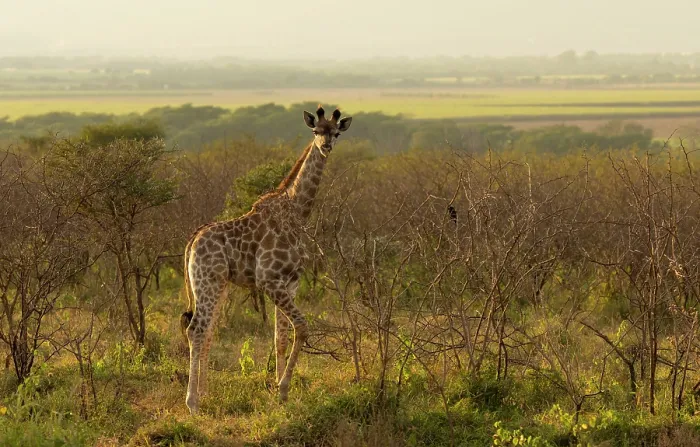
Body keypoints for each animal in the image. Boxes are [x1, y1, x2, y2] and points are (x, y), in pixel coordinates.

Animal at [180, 105, 352, 414]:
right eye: (315, 130)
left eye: (336, 133)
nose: (326, 146)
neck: (297, 213)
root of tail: (192, 241)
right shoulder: (269, 281)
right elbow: (302, 327)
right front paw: (283, 388)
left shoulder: (290, 283)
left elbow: (280, 337)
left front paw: (279, 391)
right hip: (207, 281)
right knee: (196, 329)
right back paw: (193, 403)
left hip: (219, 285)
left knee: (208, 331)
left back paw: (205, 393)